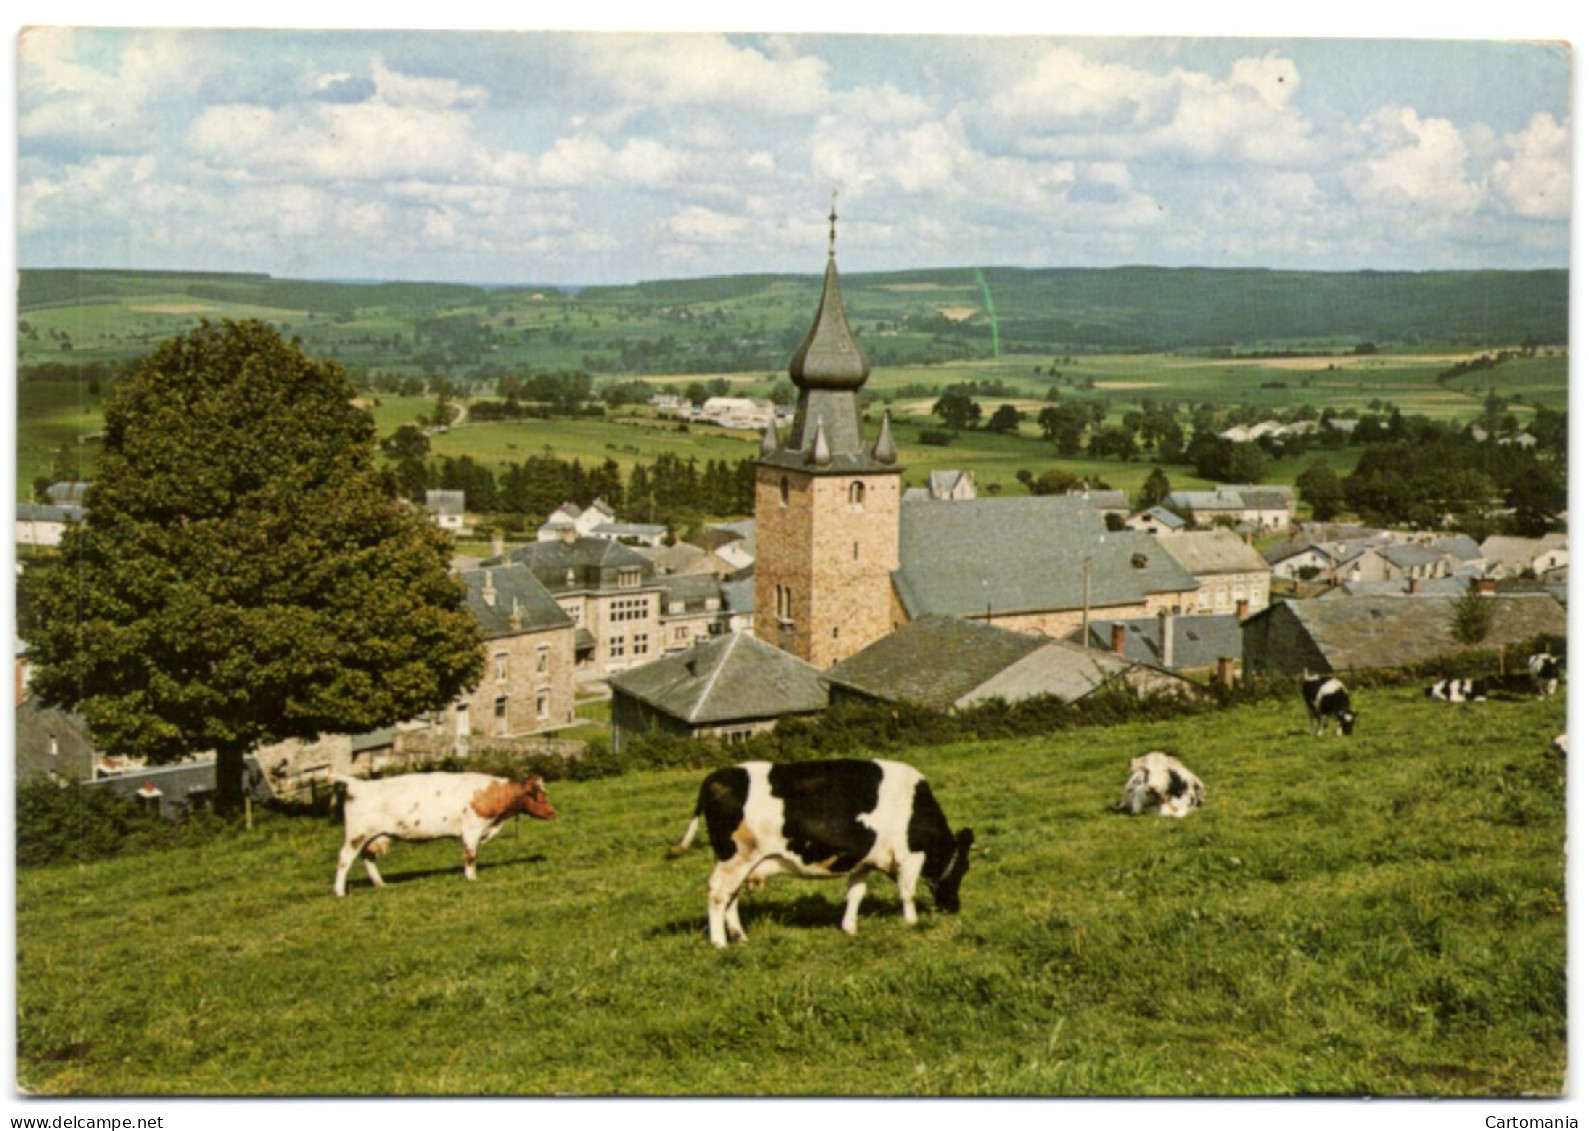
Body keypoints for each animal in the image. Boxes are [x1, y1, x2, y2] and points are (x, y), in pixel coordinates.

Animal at [332, 772, 556, 895]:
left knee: (368, 858)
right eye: (540, 795)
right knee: (344, 859)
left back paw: (380, 884)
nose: (554, 812)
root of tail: (359, 784)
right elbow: (470, 856)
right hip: (356, 835)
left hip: (372, 836)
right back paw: (339, 892)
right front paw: (472, 879)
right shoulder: (472, 829)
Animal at [667, 759, 972, 946]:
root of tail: (717, 776)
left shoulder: (862, 860)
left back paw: (740, 937)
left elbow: (856, 893)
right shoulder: (910, 856)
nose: (954, 907)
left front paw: (849, 928)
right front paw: (911, 923)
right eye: (963, 868)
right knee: (718, 894)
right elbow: (907, 892)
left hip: (741, 862)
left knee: (732, 896)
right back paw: (719, 943)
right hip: (735, 857)